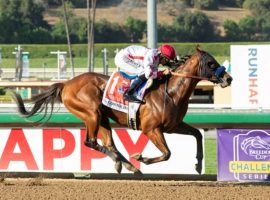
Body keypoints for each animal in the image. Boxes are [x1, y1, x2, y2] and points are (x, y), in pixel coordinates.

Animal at [10, 47, 232, 175]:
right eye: (211, 63)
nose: (228, 78)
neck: (171, 92)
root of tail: (66, 84)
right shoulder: (151, 129)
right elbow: (167, 153)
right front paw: (142, 158)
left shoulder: (173, 126)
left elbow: (197, 134)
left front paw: (198, 165)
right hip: (91, 113)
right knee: (91, 142)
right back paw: (125, 163)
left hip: (102, 117)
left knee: (109, 143)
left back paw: (126, 165)